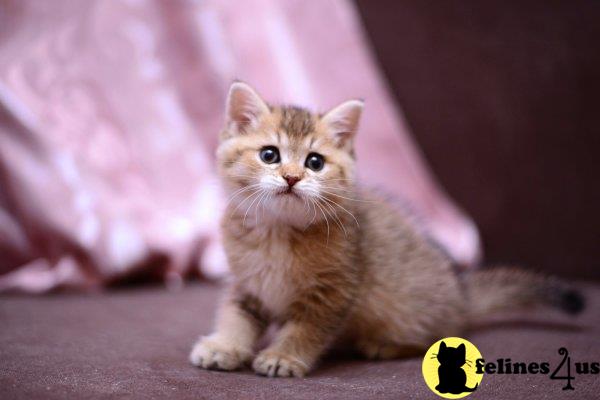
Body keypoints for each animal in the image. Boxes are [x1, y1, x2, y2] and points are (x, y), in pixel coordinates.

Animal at [189, 82, 584, 378]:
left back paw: (384, 344)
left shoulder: (333, 292)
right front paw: (224, 346)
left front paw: (282, 356)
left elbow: (304, 330)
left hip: (407, 308)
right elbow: (235, 317)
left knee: (440, 335)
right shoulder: (247, 284)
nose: (291, 177)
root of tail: (461, 297)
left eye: (314, 162)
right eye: (269, 155)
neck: (278, 232)